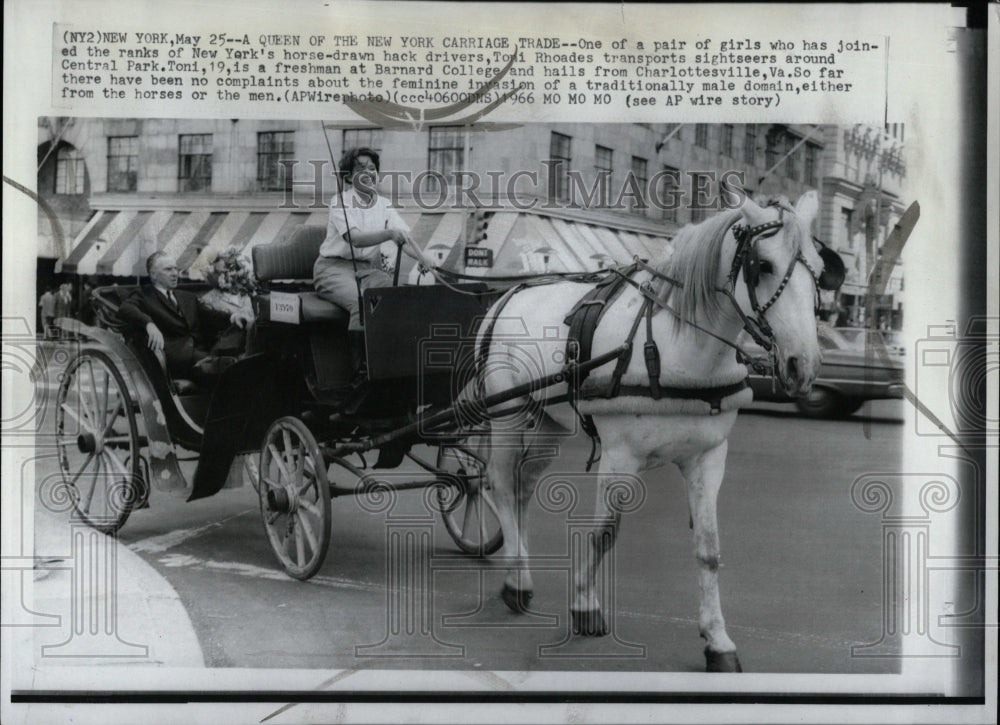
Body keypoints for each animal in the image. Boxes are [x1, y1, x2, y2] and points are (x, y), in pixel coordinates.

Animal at [476, 189, 828, 672]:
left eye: (822, 271)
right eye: (763, 266)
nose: (802, 366)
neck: (677, 347)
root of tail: (508, 296)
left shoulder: (708, 458)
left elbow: (709, 548)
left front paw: (717, 640)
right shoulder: (619, 455)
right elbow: (604, 534)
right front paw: (585, 605)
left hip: (550, 423)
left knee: (522, 486)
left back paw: (521, 568)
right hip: (507, 414)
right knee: (500, 484)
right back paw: (516, 581)